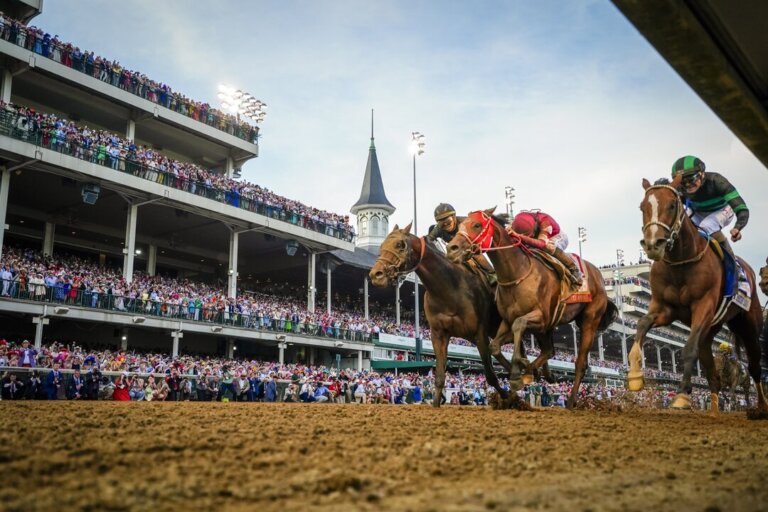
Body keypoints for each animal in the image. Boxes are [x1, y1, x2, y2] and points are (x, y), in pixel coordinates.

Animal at [370, 224, 508, 408]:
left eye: (400, 245)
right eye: (381, 245)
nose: (375, 274)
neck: (449, 288)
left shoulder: (480, 333)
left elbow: (491, 375)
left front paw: (511, 399)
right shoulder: (438, 334)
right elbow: (440, 376)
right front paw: (435, 404)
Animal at [444, 208, 616, 408]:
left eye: (477, 225)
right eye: (460, 226)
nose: (452, 248)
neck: (516, 272)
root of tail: (599, 276)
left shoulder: (540, 317)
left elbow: (519, 325)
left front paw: (517, 371)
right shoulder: (508, 320)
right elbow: (494, 346)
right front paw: (522, 369)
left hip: (589, 320)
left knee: (580, 362)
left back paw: (571, 400)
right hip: (550, 327)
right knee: (549, 350)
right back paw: (539, 373)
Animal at [636, 174, 768, 414]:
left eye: (672, 204)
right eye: (642, 207)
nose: (652, 245)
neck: (681, 261)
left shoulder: (703, 306)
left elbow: (688, 349)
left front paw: (681, 396)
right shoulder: (664, 308)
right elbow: (641, 326)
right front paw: (634, 376)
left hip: (749, 327)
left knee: (755, 367)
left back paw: (761, 406)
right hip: (710, 331)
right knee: (713, 376)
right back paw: (714, 411)